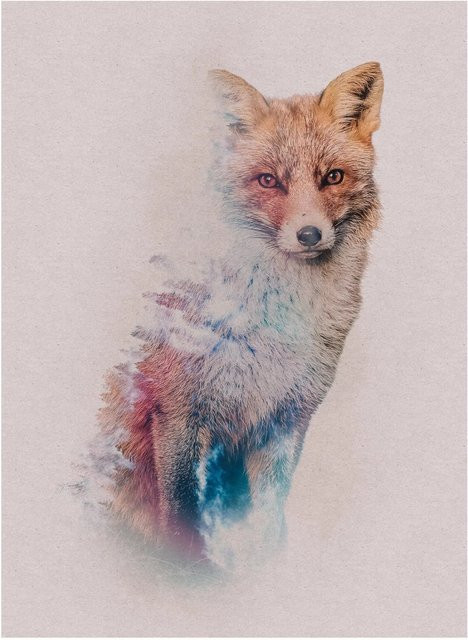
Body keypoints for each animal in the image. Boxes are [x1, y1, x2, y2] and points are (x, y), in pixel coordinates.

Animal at [80, 62, 384, 571]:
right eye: (268, 181)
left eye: (333, 176)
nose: (309, 234)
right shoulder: (178, 413)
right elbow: (183, 517)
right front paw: (189, 576)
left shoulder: (285, 420)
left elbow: (270, 522)